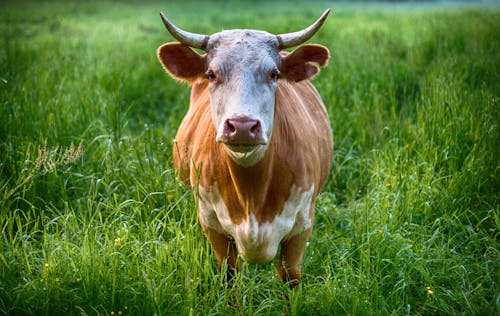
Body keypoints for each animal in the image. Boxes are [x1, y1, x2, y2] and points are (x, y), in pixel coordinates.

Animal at [158, 9, 334, 286]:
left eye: (274, 74)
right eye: (211, 74)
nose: (242, 126)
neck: (252, 194)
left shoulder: (302, 227)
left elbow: (290, 278)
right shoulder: (212, 224)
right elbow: (230, 277)